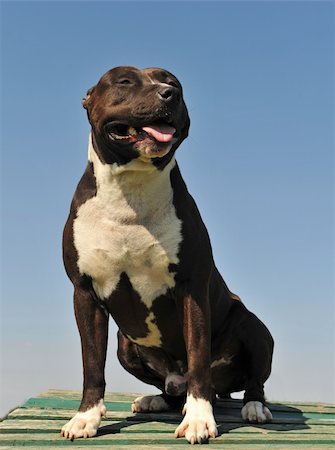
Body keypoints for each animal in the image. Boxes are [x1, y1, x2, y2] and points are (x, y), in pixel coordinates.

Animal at [61, 65, 274, 444]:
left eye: (173, 82)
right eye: (124, 81)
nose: (168, 94)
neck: (131, 189)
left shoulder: (192, 288)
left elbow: (199, 358)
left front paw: (200, 420)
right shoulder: (84, 293)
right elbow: (92, 363)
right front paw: (86, 417)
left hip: (254, 327)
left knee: (249, 379)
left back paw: (253, 406)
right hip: (125, 345)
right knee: (173, 389)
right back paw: (156, 399)